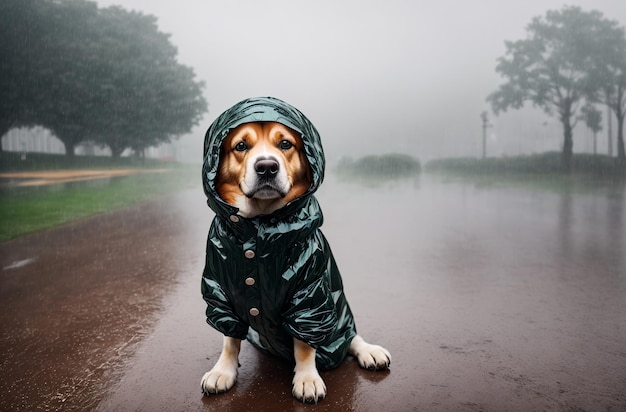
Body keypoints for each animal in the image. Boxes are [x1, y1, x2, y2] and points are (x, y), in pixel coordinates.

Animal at [199, 97, 390, 402]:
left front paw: (307, 378)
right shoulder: (221, 292)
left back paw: (369, 352)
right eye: (240, 146)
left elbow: (304, 345)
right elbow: (230, 340)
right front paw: (223, 371)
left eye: (286, 144)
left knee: (349, 337)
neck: (260, 226)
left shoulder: (310, 295)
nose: (267, 167)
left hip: (339, 314)